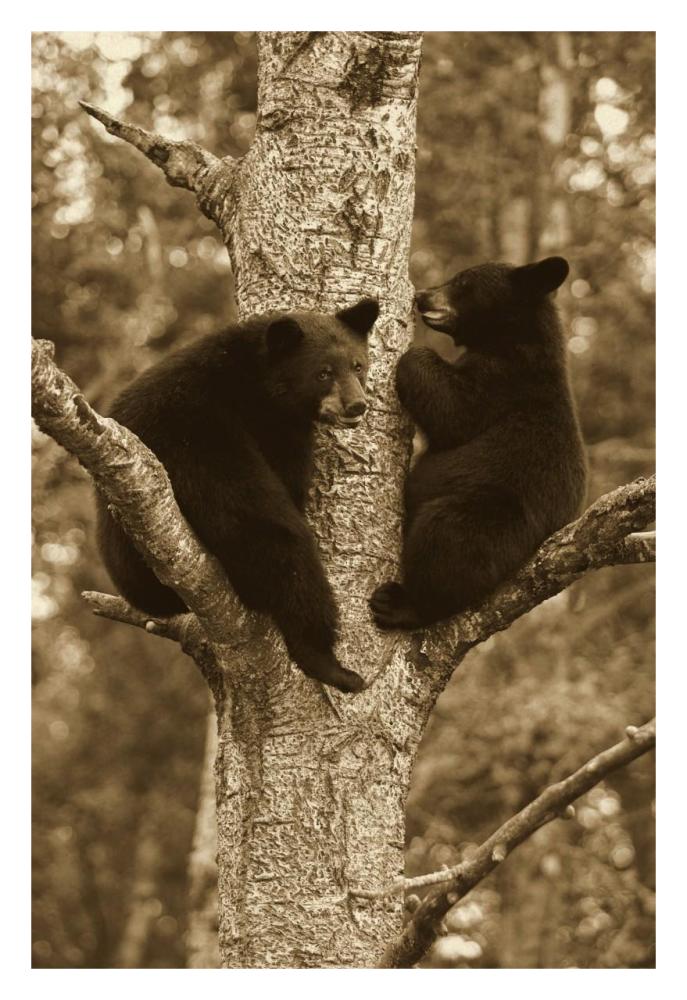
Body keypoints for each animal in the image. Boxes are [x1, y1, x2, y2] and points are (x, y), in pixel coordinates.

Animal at [97, 297, 379, 693]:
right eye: (323, 373)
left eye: (358, 366)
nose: (357, 405)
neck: (256, 386)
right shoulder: (224, 429)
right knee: (282, 545)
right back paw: (330, 664)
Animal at [369, 256, 587, 630]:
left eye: (463, 283)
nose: (422, 296)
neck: (511, 339)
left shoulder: (503, 382)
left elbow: (453, 410)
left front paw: (410, 352)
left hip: (496, 516)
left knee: (447, 540)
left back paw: (403, 604)